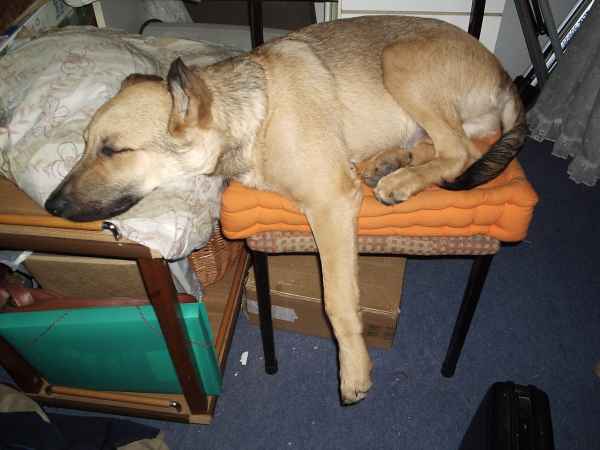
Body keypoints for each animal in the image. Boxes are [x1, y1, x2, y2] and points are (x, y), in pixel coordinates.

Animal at [45, 16, 526, 404]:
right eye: (86, 144)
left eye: (114, 150)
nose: (52, 205)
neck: (253, 118)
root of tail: (506, 77)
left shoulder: (330, 204)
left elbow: (338, 301)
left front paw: (354, 370)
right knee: (443, 148)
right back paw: (388, 163)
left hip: (399, 62)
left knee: (458, 153)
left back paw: (400, 179)